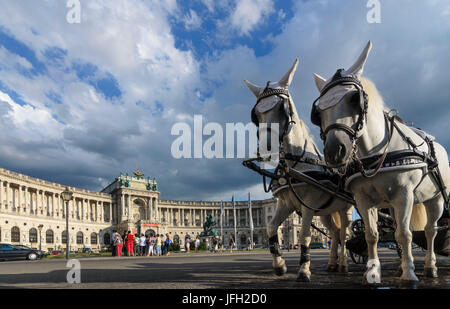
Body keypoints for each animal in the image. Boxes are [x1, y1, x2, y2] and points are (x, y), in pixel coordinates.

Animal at [244, 59, 354, 280]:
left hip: (345, 208)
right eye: (256, 113)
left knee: (344, 233)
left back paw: (344, 265)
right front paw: (279, 264)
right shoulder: (286, 203)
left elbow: (304, 235)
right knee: (334, 233)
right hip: (326, 212)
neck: (297, 164)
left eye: (282, 107)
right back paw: (332, 264)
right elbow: (271, 228)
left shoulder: (308, 205)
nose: (266, 149)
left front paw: (304, 269)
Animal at [312, 41, 448, 282]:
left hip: (436, 199)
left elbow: (404, 234)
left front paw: (409, 275)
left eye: (353, 99)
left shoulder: (404, 194)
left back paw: (429, 266)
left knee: (430, 230)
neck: (374, 155)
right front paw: (373, 272)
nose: (334, 152)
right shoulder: (364, 200)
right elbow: (372, 235)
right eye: (318, 112)